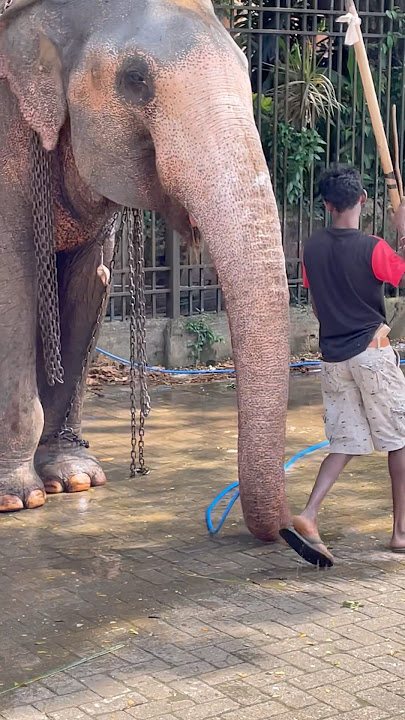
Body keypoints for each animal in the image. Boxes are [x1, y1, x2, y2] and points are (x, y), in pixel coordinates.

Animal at [0, 0, 290, 540]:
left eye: (247, 69)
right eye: (135, 80)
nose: (293, 533)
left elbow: (89, 284)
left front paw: (73, 480)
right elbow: (14, 285)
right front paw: (15, 498)